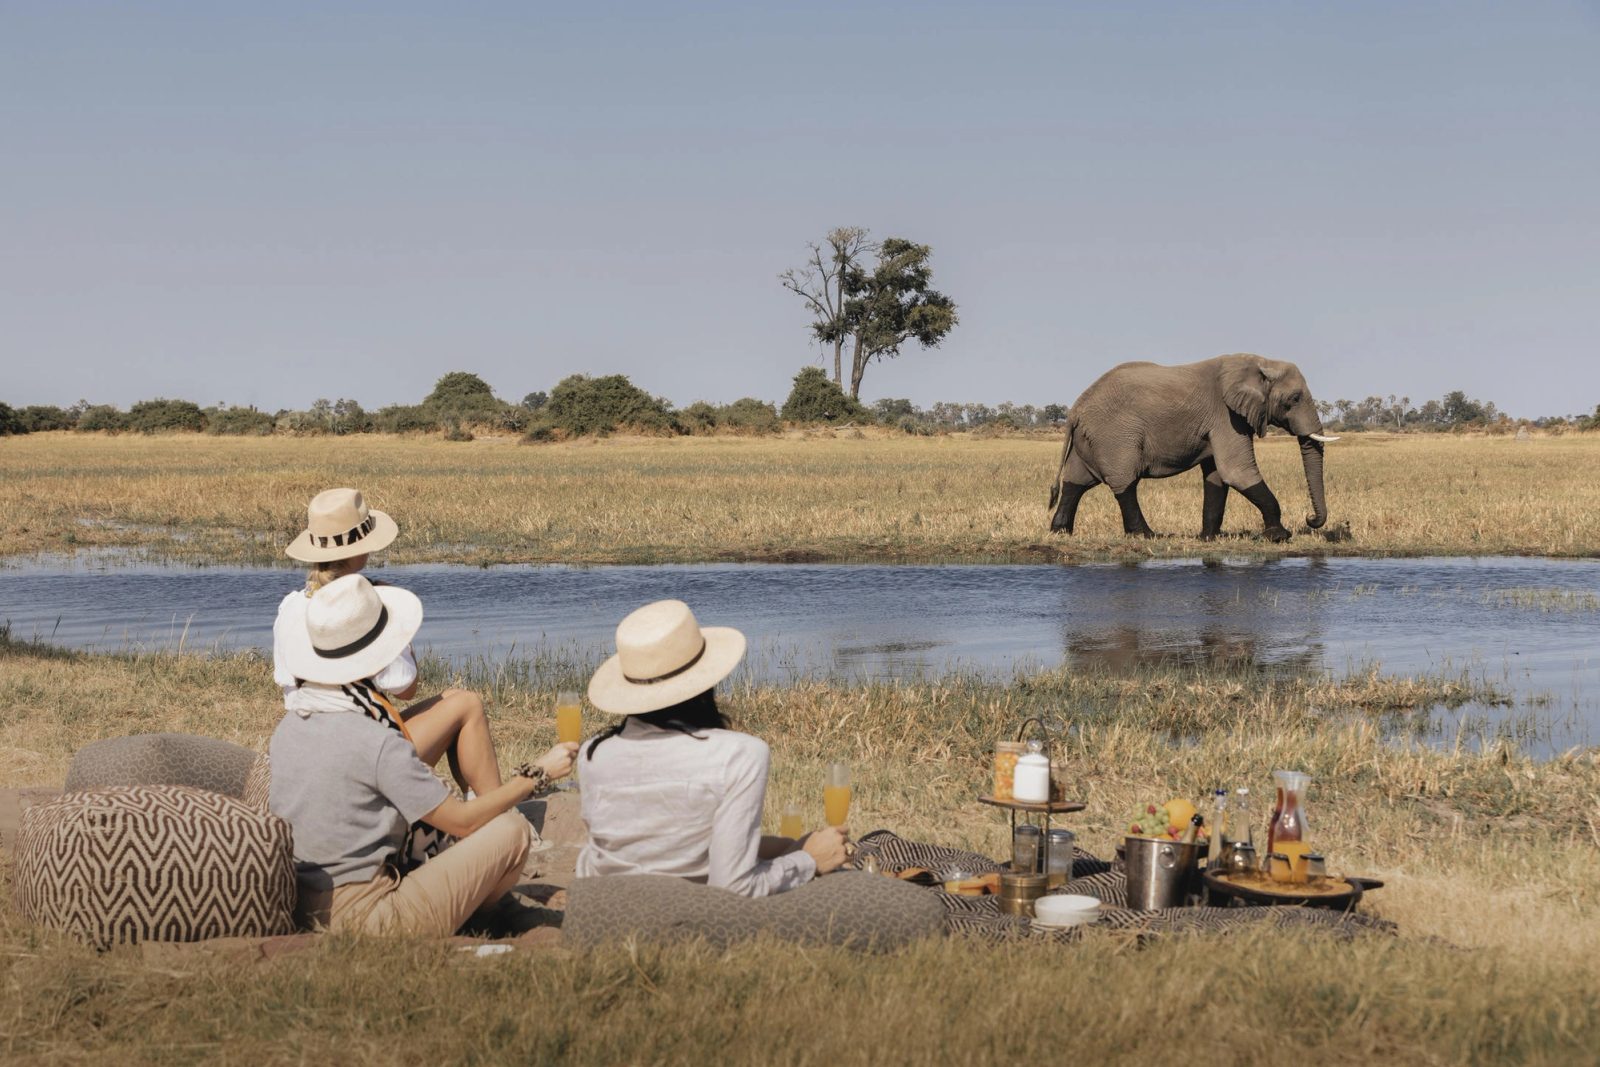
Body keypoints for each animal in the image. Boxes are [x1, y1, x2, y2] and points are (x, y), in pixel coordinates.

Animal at [1047, 354, 1337, 541]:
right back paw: (1147, 536)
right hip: (1115, 435)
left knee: (1076, 481)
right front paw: (1279, 536)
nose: (1309, 519)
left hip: (1091, 438)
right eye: (1295, 399)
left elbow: (1217, 476)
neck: (1259, 363)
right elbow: (1237, 471)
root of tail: (1076, 409)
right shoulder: (1226, 416)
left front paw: (1209, 539)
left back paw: (1060, 532)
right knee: (1124, 482)